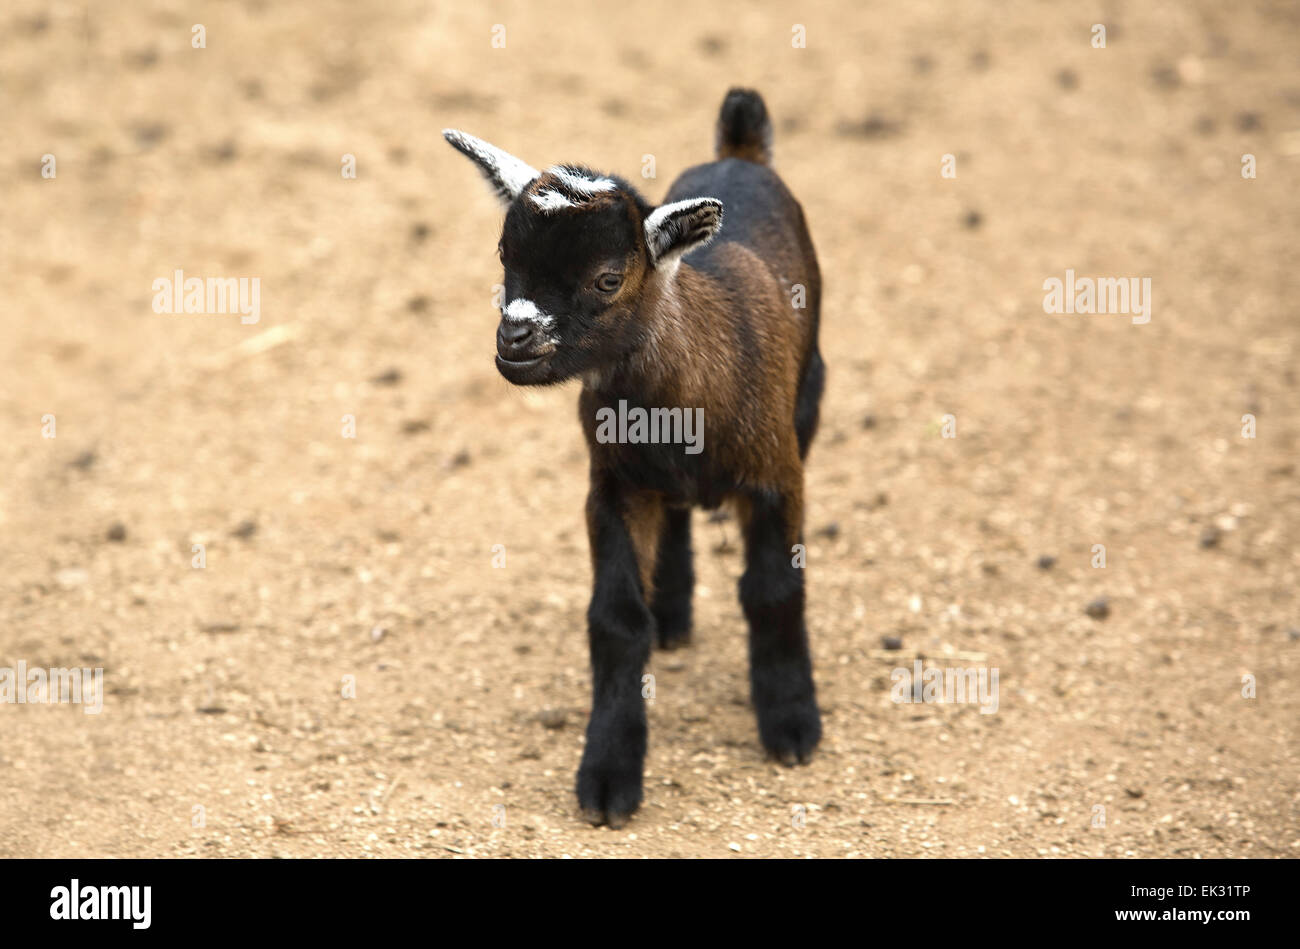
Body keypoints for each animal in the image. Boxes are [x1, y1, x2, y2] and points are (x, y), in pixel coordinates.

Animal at [441, 90, 816, 826]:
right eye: (503, 256)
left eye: (608, 278)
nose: (514, 337)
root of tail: (740, 151)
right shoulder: (611, 487)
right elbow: (616, 620)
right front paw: (608, 774)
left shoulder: (776, 476)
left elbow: (773, 591)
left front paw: (791, 724)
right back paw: (671, 610)